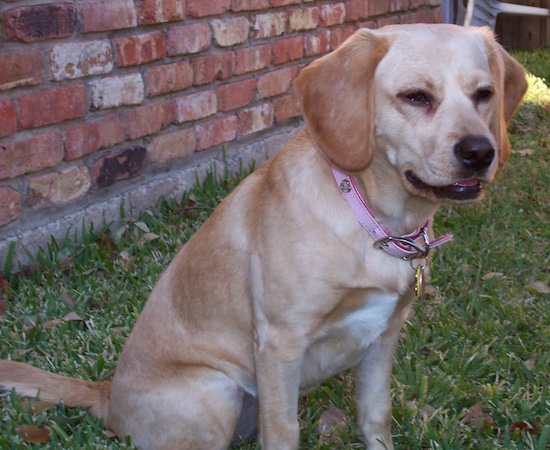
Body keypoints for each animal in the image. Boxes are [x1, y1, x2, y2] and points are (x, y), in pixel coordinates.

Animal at [0, 24, 528, 450]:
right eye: (416, 96)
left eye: (484, 94)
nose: (480, 152)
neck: (375, 223)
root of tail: (106, 395)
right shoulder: (280, 344)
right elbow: (284, 433)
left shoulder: (383, 337)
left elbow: (376, 417)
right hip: (216, 392)